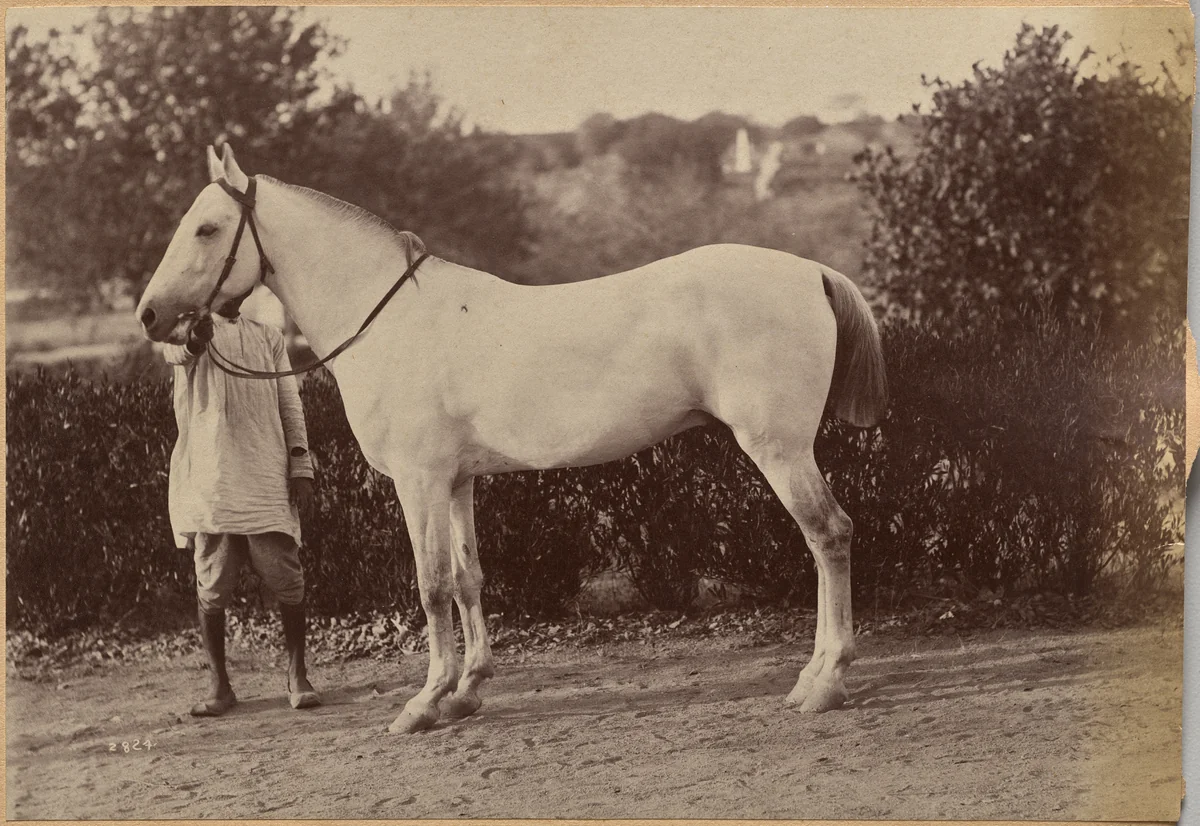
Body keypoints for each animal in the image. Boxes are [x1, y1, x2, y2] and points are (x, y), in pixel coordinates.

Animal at [137, 144, 887, 734]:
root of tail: (811, 271)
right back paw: (813, 676)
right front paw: (466, 692)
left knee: (829, 535)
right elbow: (470, 579)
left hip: (778, 449)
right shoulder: (457, 482)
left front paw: (424, 702)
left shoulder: (418, 482)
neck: (390, 321)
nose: (149, 316)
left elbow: (431, 584)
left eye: (206, 228)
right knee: (824, 540)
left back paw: (825, 682)